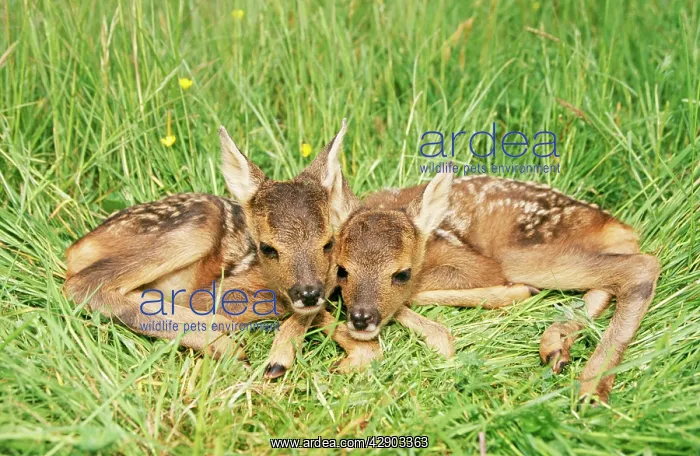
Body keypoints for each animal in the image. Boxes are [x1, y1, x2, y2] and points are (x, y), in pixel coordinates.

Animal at [63, 120, 378, 377]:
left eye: (328, 243)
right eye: (267, 248)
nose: (308, 293)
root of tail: (78, 246)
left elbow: (369, 346)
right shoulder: (217, 291)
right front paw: (277, 358)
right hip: (199, 224)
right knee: (82, 284)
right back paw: (226, 344)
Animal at [332, 171, 661, 403]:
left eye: (401, 273)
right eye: (342, 270)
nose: (361, 318)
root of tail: (617, 226)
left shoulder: (474, 263)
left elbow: (416, 293)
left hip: (521, 255)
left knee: (642, 266)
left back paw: (591, 386)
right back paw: (555, 345)